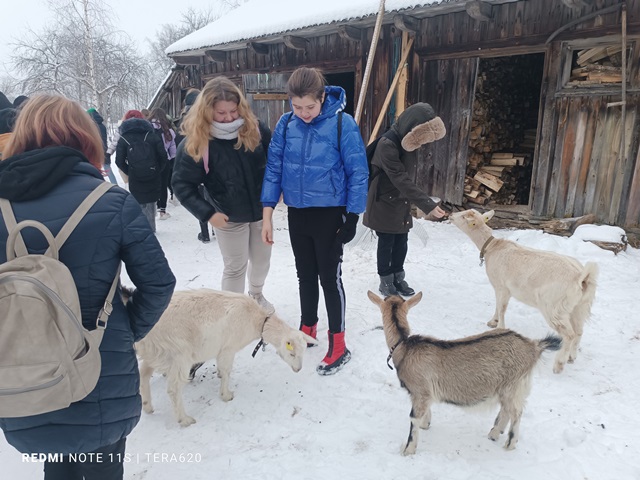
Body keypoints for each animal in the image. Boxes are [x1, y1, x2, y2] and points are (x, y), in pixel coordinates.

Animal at [132, 286, 318, 426]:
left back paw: (147, 406)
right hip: (179, 353)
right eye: (291, 353)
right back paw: (184, 419)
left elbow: (223, 369)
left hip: (156, 351)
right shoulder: (228, 348)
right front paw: (226, 395)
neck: (257, 321)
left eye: (303, 352)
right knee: (173, 389)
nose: (298, 369)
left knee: (143, 374)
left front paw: (221, 378)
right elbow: (227, 370)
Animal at [368, 290, 564, 456]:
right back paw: (494, 433)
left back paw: (509, 443)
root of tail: (533, 346)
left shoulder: (419, 391)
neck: (404, 347)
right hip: (510, 387)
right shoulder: (425, 394)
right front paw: (426, 425)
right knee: (507, 410)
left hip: (513, 385)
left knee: (516, 412)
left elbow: (413, 419)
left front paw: (408, 449)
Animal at [448, 208, 596, 374]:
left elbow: (502, 308)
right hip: (579, 307)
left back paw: (559, 364)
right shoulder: (499, 287)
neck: (492, 247)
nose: (450, 215)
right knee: (579, 331)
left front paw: (499, 327)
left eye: (463, 217)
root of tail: (580, 276)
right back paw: (571, 357)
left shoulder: (503, 287)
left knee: (569, 334)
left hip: (553, 307)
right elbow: (497, 305)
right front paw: (493, 321)